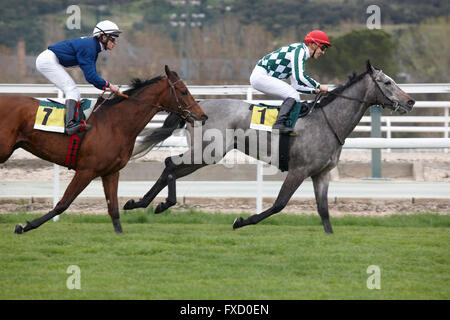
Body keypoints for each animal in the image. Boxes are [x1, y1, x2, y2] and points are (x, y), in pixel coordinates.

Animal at [3, 66, 207, 234]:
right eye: (183, 91)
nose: (202, 115)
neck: (115, 124)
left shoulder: (111, 172)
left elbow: (114, 208)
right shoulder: (86, 170)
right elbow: (63, 203)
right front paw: (25, 226)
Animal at [123, 61, 414, 234]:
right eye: (387, 82)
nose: (410, 101)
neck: (327, 121)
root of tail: (197, 106)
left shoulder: (321, 174)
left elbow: (323, 211)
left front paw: (331, 237)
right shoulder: (298, 170)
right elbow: (279, 204)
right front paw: (241, 221)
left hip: (206, 155)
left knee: (170, 167)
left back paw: (145, 203)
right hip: (207, 153)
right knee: (170, 163)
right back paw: (157, 203)